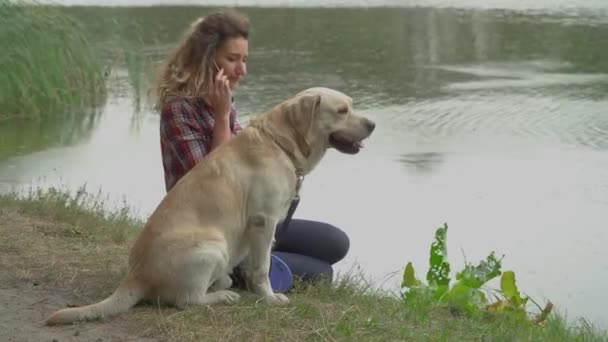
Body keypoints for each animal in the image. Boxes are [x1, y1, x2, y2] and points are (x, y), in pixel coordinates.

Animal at [46, 87, 376, 324]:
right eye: (342, 110)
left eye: (351, 104)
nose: (373, 124)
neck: (280, 144)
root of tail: (135, 276)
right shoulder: (264, 221)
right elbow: (263, 268)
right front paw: (270, 299)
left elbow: (254, 266)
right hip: (213, 246)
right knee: (186, 300)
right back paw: (223, 297)